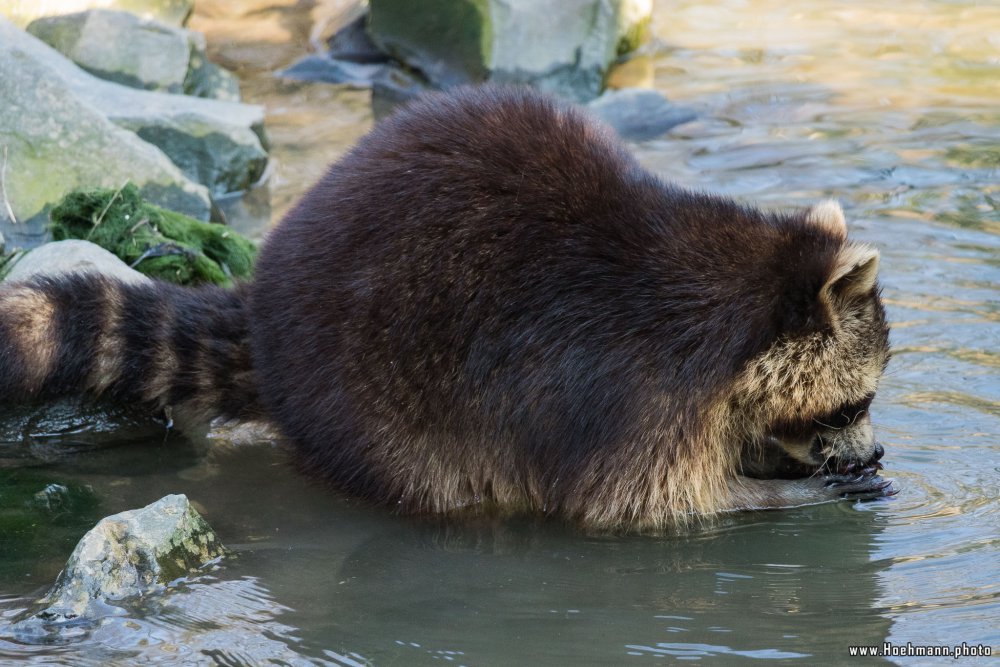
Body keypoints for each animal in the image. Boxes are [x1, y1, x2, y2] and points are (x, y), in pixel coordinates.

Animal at [0, 86, 892, 528]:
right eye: (857, 401)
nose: (875, 450)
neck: (739, 298)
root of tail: (264, 309)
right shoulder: (634, 389)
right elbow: (641, 507)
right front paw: (783, 493)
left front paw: (778, 460)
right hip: (370, 396)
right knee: (437, 478)